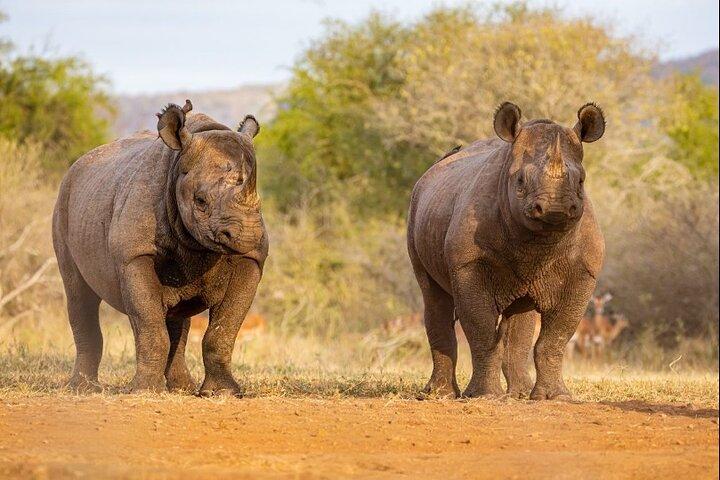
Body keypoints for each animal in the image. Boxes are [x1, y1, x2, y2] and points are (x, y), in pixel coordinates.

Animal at [52, 100, 268, 396]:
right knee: (79, 294)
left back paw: (183, 388)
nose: (248, 236)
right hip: (64, 202)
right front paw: (144, 391)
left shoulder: (251, 259)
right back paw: (84, 389)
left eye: (260, 201)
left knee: (177, 317)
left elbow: (223, 330)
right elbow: (149, 324)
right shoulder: (134, 254)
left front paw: (223, 393)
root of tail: (76, 166)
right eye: (200, 201)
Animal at [407, 102, 606, 400]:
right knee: (432, 295)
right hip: (415, 208)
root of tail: (432, 171)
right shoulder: (468, 264)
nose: (555, 209)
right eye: (520, 181)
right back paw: (440, 395)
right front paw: (484, 396)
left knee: (520, 313)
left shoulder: (583, 270)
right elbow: (482, 330)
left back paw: (519, 394)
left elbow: (556, 337)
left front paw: (555, 397)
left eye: (581, 181)